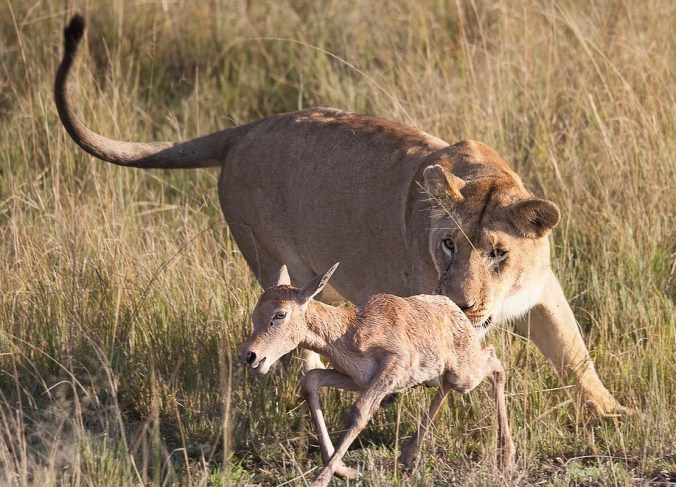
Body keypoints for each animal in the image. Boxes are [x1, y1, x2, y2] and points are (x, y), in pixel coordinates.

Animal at [54, 15, 625, 416]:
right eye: (447, 245)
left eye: (497, 253)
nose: (463, 304)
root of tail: (243, 131)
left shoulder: (544, 293)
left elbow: (575, 354)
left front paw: (613, 412)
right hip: (273, 260)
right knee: (288, 317)